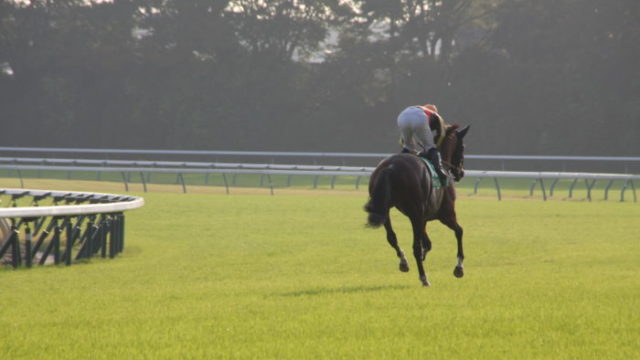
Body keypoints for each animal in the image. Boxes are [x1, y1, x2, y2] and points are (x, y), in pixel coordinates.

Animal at [364, 124, 470, 286]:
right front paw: (459, 268)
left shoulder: (422, 218)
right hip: (417, 214)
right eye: (462, 146)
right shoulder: (445, 214)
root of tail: (390, 167)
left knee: (392, 237)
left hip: (385, 209)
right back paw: (424, 277)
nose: (461, 172)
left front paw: (423, 256)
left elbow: (428, 243)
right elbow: (459, 231)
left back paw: (404, 262)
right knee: (415, 247)